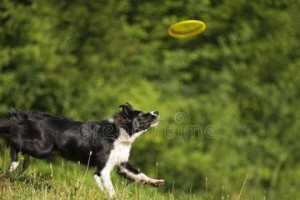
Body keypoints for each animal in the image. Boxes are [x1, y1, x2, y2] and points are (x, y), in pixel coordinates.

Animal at [0, 104, 164, 198]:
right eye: (142, 115)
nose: (157, 112)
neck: (120, 133)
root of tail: (30, 116)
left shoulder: (122, 164)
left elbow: (140, 175)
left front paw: (156, 182)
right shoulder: (103, 169)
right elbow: (110, 188)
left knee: (23, 151)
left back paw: (23, 164)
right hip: (42, 148)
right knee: (14, 142)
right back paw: (14, 164)